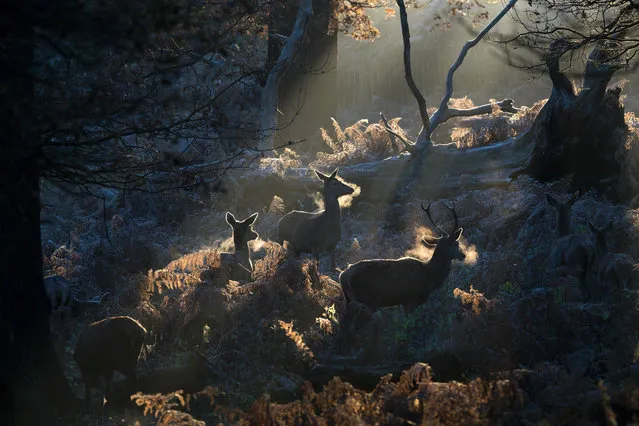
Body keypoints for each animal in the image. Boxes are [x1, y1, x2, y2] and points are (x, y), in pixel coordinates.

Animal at [340, 201, 464, 332]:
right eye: (455, 243)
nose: (463, 255)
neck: (429, 276)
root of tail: (342, 275)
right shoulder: (411, 298)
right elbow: (410, 324)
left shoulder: (403, 302)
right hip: (364, 299)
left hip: (349, 299)